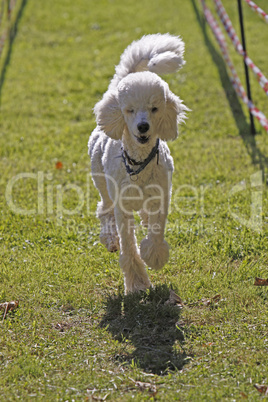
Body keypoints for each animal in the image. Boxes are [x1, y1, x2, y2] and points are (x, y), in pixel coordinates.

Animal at [88, 33, 188, 294]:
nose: (143, 127)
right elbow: (128, 245)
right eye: (130, 110)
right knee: (104, 210)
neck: (139, 163)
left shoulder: (162, 196)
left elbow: (156, 230)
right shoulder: (122, 206)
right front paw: (137, 283)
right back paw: (110, 239)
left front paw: (154, 255)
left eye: (155, 108)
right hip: (102, 183)